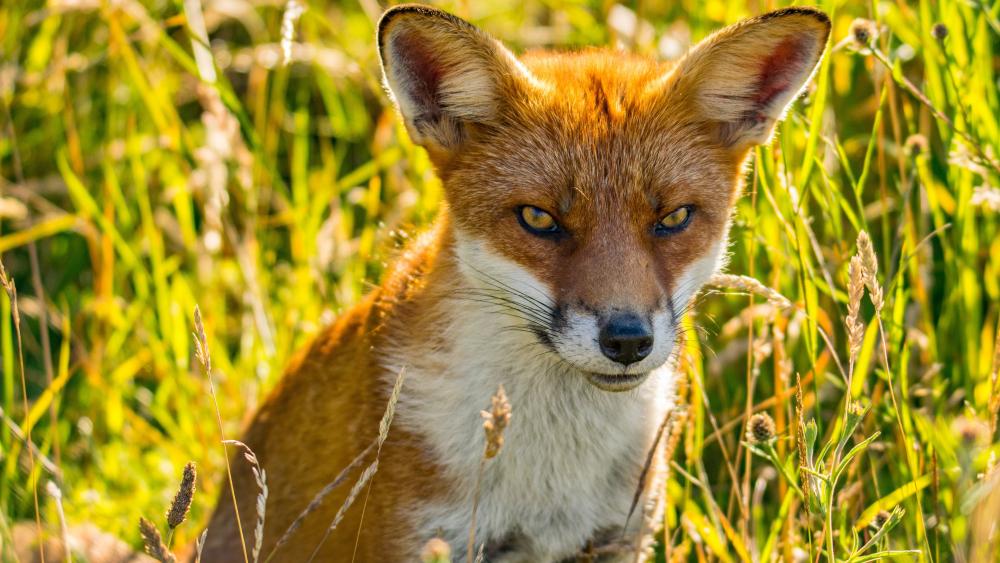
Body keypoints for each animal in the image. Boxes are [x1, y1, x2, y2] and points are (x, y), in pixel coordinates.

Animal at [199, 5, 832, 563]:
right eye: (538, 219)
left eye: (674, 218)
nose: (628, 341)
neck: (552, 481)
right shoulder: (424, 537)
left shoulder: (617, 537)